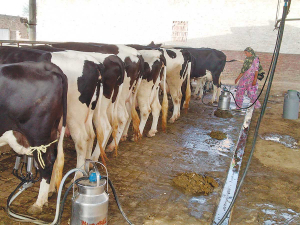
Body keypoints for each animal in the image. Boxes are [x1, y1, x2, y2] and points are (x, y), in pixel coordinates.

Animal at [0, 61, 67, 214]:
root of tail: (45, 66)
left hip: (38, 133)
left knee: (46, 164)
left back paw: (39, 203)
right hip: (51, 132)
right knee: (53, 158)